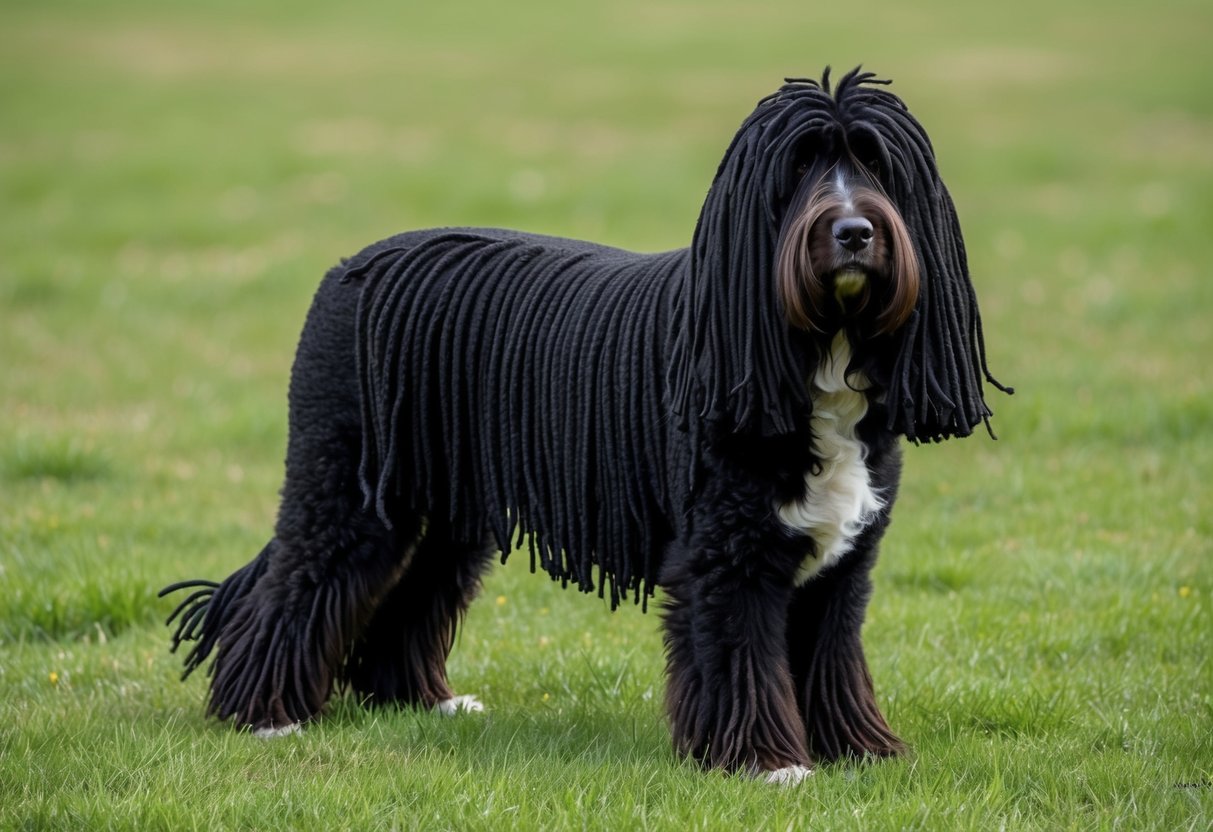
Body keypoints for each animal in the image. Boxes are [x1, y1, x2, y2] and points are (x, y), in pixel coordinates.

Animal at [166, 68, 1009, 785]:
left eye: (876, 166)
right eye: (797, 170)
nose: (855, 231)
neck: (813, 349)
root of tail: (348, 268)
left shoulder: (842, 561)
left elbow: (830, 654)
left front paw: (856, 751)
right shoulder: (725, 553)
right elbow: (741, 652)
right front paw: (766, 763)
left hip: (444, 506)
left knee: (414, 591)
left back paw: (418, 700)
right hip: (346, 483)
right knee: (297, 585)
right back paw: (263, 715)